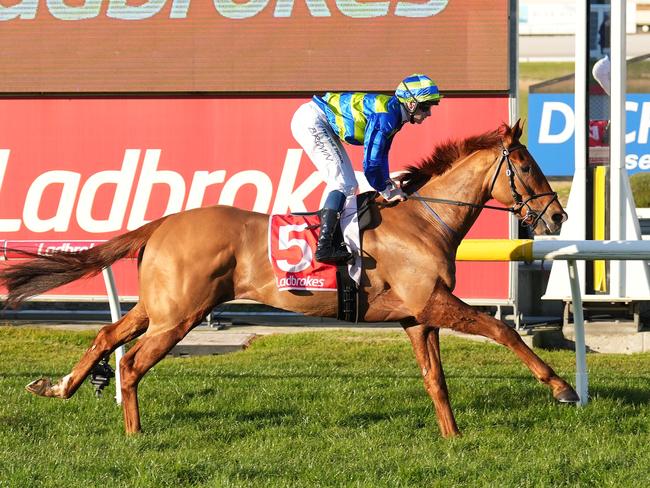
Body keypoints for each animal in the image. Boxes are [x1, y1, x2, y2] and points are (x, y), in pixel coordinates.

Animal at [1, 121, 576, 438]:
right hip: (179, 315)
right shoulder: (433, 302)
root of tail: (164, 222)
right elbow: (502, 329)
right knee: (133, 363)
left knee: (107, 336)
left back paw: (58, 387)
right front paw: (562, 387)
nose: (557, 216)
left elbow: (436, 380)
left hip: (159, 307)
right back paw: (134, 433)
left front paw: (453, 437)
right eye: (527, 166)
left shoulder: (417, 316)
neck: (422, 220)